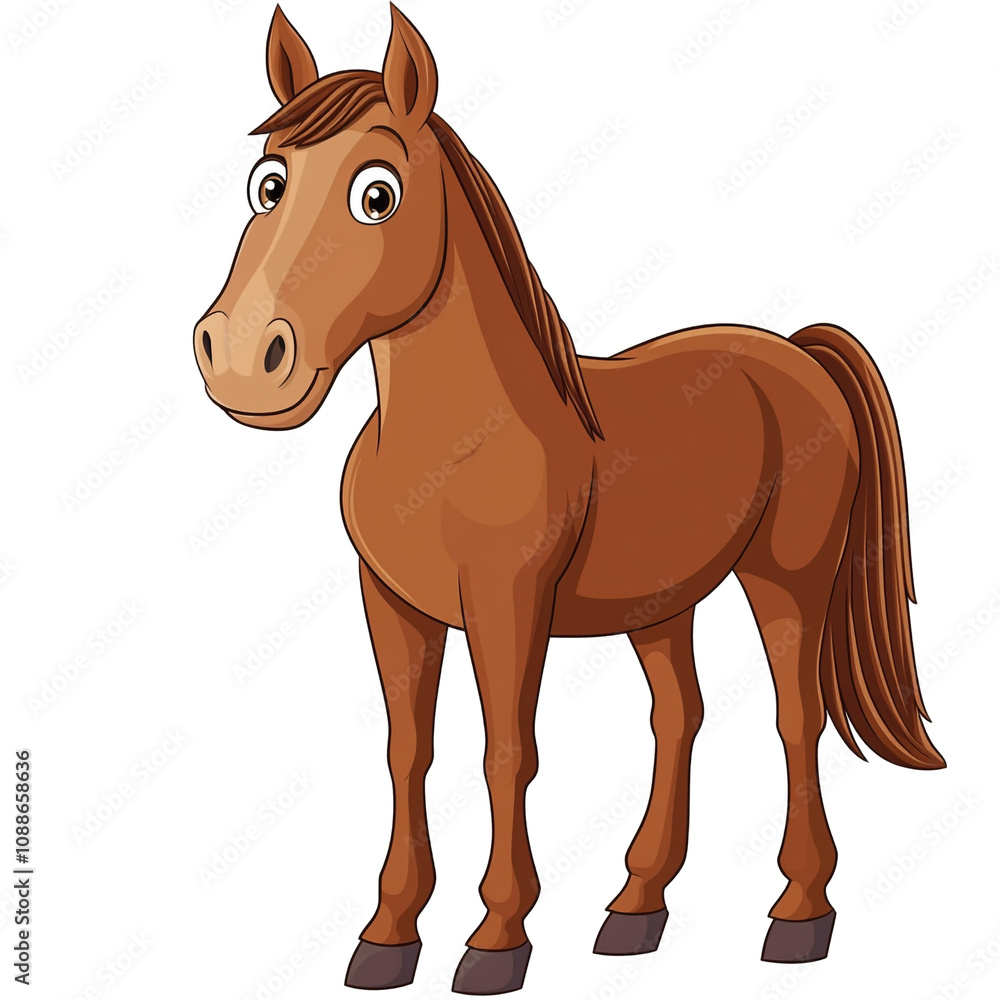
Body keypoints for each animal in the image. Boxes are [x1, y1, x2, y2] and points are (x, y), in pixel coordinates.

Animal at [193, 6, 945, 994]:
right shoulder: (391, 604)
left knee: (796, 718)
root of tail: (793, 349)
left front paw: (496, 937)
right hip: (661, 603)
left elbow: (506, 752)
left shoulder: (509, 606)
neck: (450, 444)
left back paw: (798, 915)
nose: (245, 358)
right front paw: (388, 934)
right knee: (679, 717)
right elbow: (407, 751)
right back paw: (636, 909)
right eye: (267, 184)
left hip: (788, 579)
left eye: (378, 194)